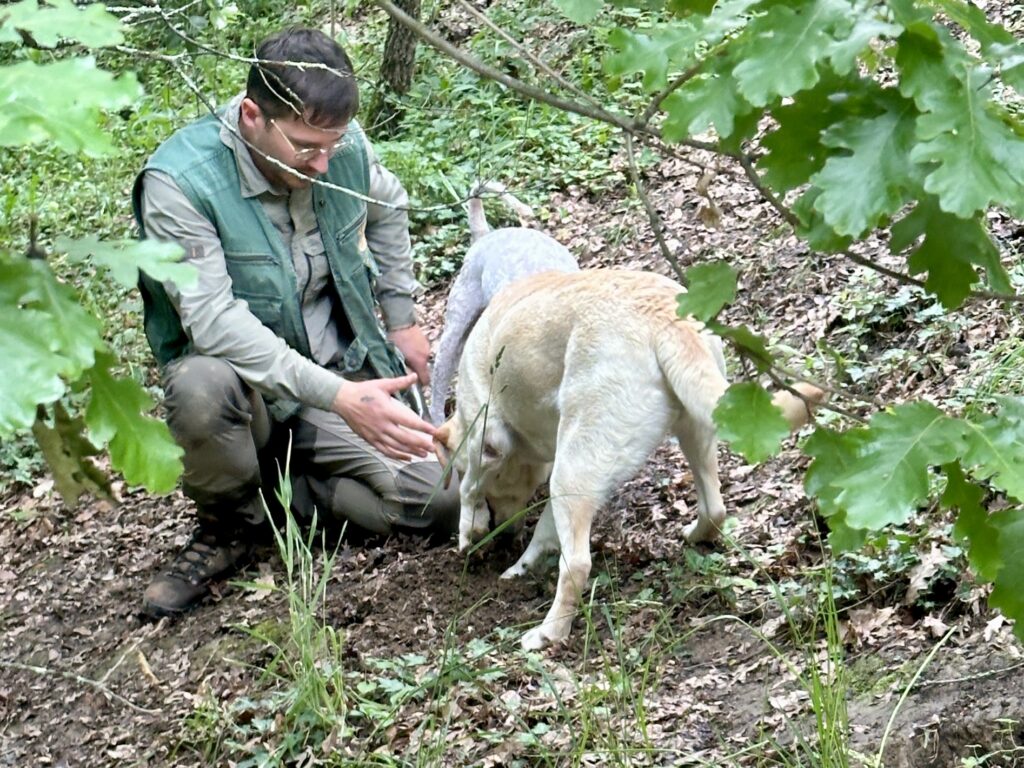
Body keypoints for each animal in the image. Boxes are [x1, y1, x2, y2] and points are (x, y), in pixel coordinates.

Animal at [434, 268, 823, 651]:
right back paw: (695, 535)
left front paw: (470, 531)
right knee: (714, 509)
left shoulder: (488, 440)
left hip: (573, 470)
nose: (503, 535)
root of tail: (664, 315)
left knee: (577, 566)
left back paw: (547, 633)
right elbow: (543, 530)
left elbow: (470, 489)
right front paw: (522, 564)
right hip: (692, 432)